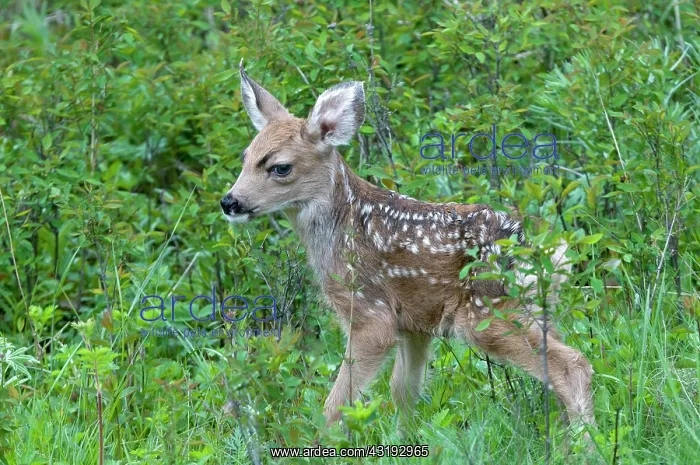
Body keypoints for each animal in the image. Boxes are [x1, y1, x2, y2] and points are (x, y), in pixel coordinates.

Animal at [220, 60, 595, 430]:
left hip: (489, 311)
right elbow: (404, 391)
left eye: (280, 167)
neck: (341, 226)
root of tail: (541, 250)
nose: (230, 202)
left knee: (572, 363)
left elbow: (337, 405)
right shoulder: (415, 324)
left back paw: (583, 441)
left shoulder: (370, 311)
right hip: (532, 309)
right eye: (245, 157)